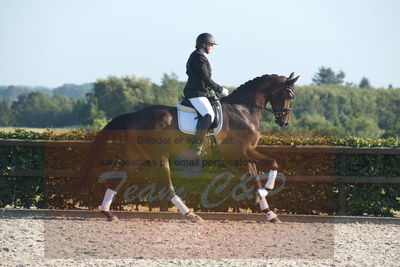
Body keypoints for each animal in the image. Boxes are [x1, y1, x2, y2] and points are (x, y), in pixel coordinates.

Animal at [70, 73, 298, 224]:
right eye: (288, 95)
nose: (284, 121)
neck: (243, 110)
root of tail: (134, 115)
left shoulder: (243, 156)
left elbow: (255, 180)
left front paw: (269, 212)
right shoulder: (244, 152)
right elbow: (273, 163)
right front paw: (269, 189)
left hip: (137, 156)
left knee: (119, 179)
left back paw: (107, 212)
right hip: (158, 156)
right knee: (166, 185)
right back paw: (190, 214)